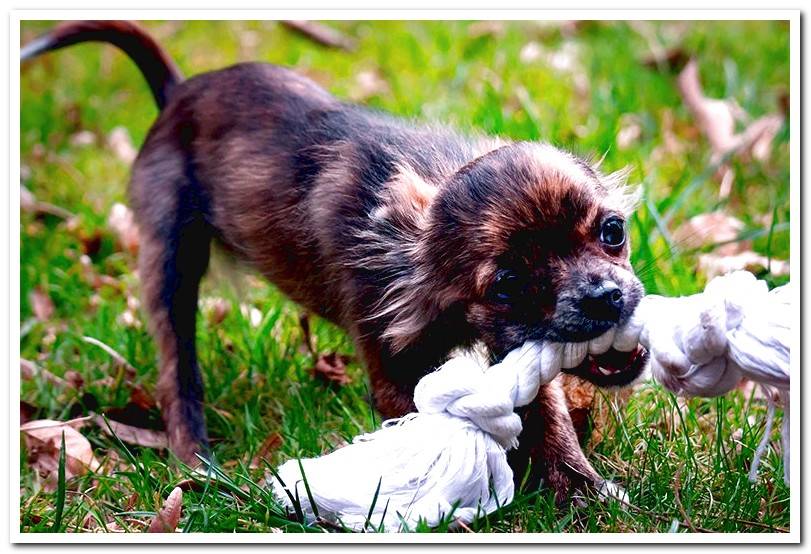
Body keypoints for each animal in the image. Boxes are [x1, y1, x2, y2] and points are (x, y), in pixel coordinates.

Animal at [22, 20, 652, 496]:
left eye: (613, 231)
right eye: (506, 284)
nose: (604, 297)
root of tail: (177, 93)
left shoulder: (516, 353)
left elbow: (549, 421)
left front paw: (585, 496)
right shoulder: (394, 370)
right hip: (169, 264)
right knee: (178, 370)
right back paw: (196, 461)